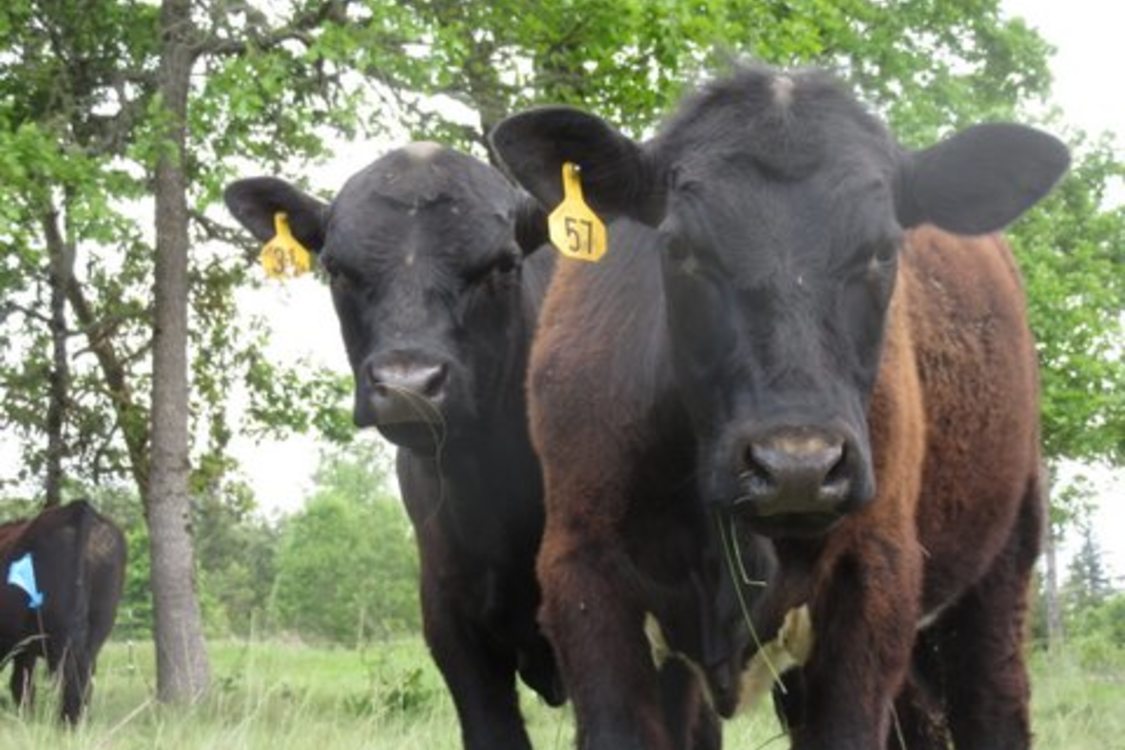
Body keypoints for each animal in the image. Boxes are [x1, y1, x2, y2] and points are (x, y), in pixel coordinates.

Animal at [1, 501, 126, 724]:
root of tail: (79, 509)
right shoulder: (23, 647)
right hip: (97, 626)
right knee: (83, 677)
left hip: (58, 633)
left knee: (67, 677)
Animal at [497, 64, 1066, 750]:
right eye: (681, 247)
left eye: (883, 248)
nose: (798, 467)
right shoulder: (583, 572)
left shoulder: (874, 577)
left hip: (1002, 569)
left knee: (993, 706)